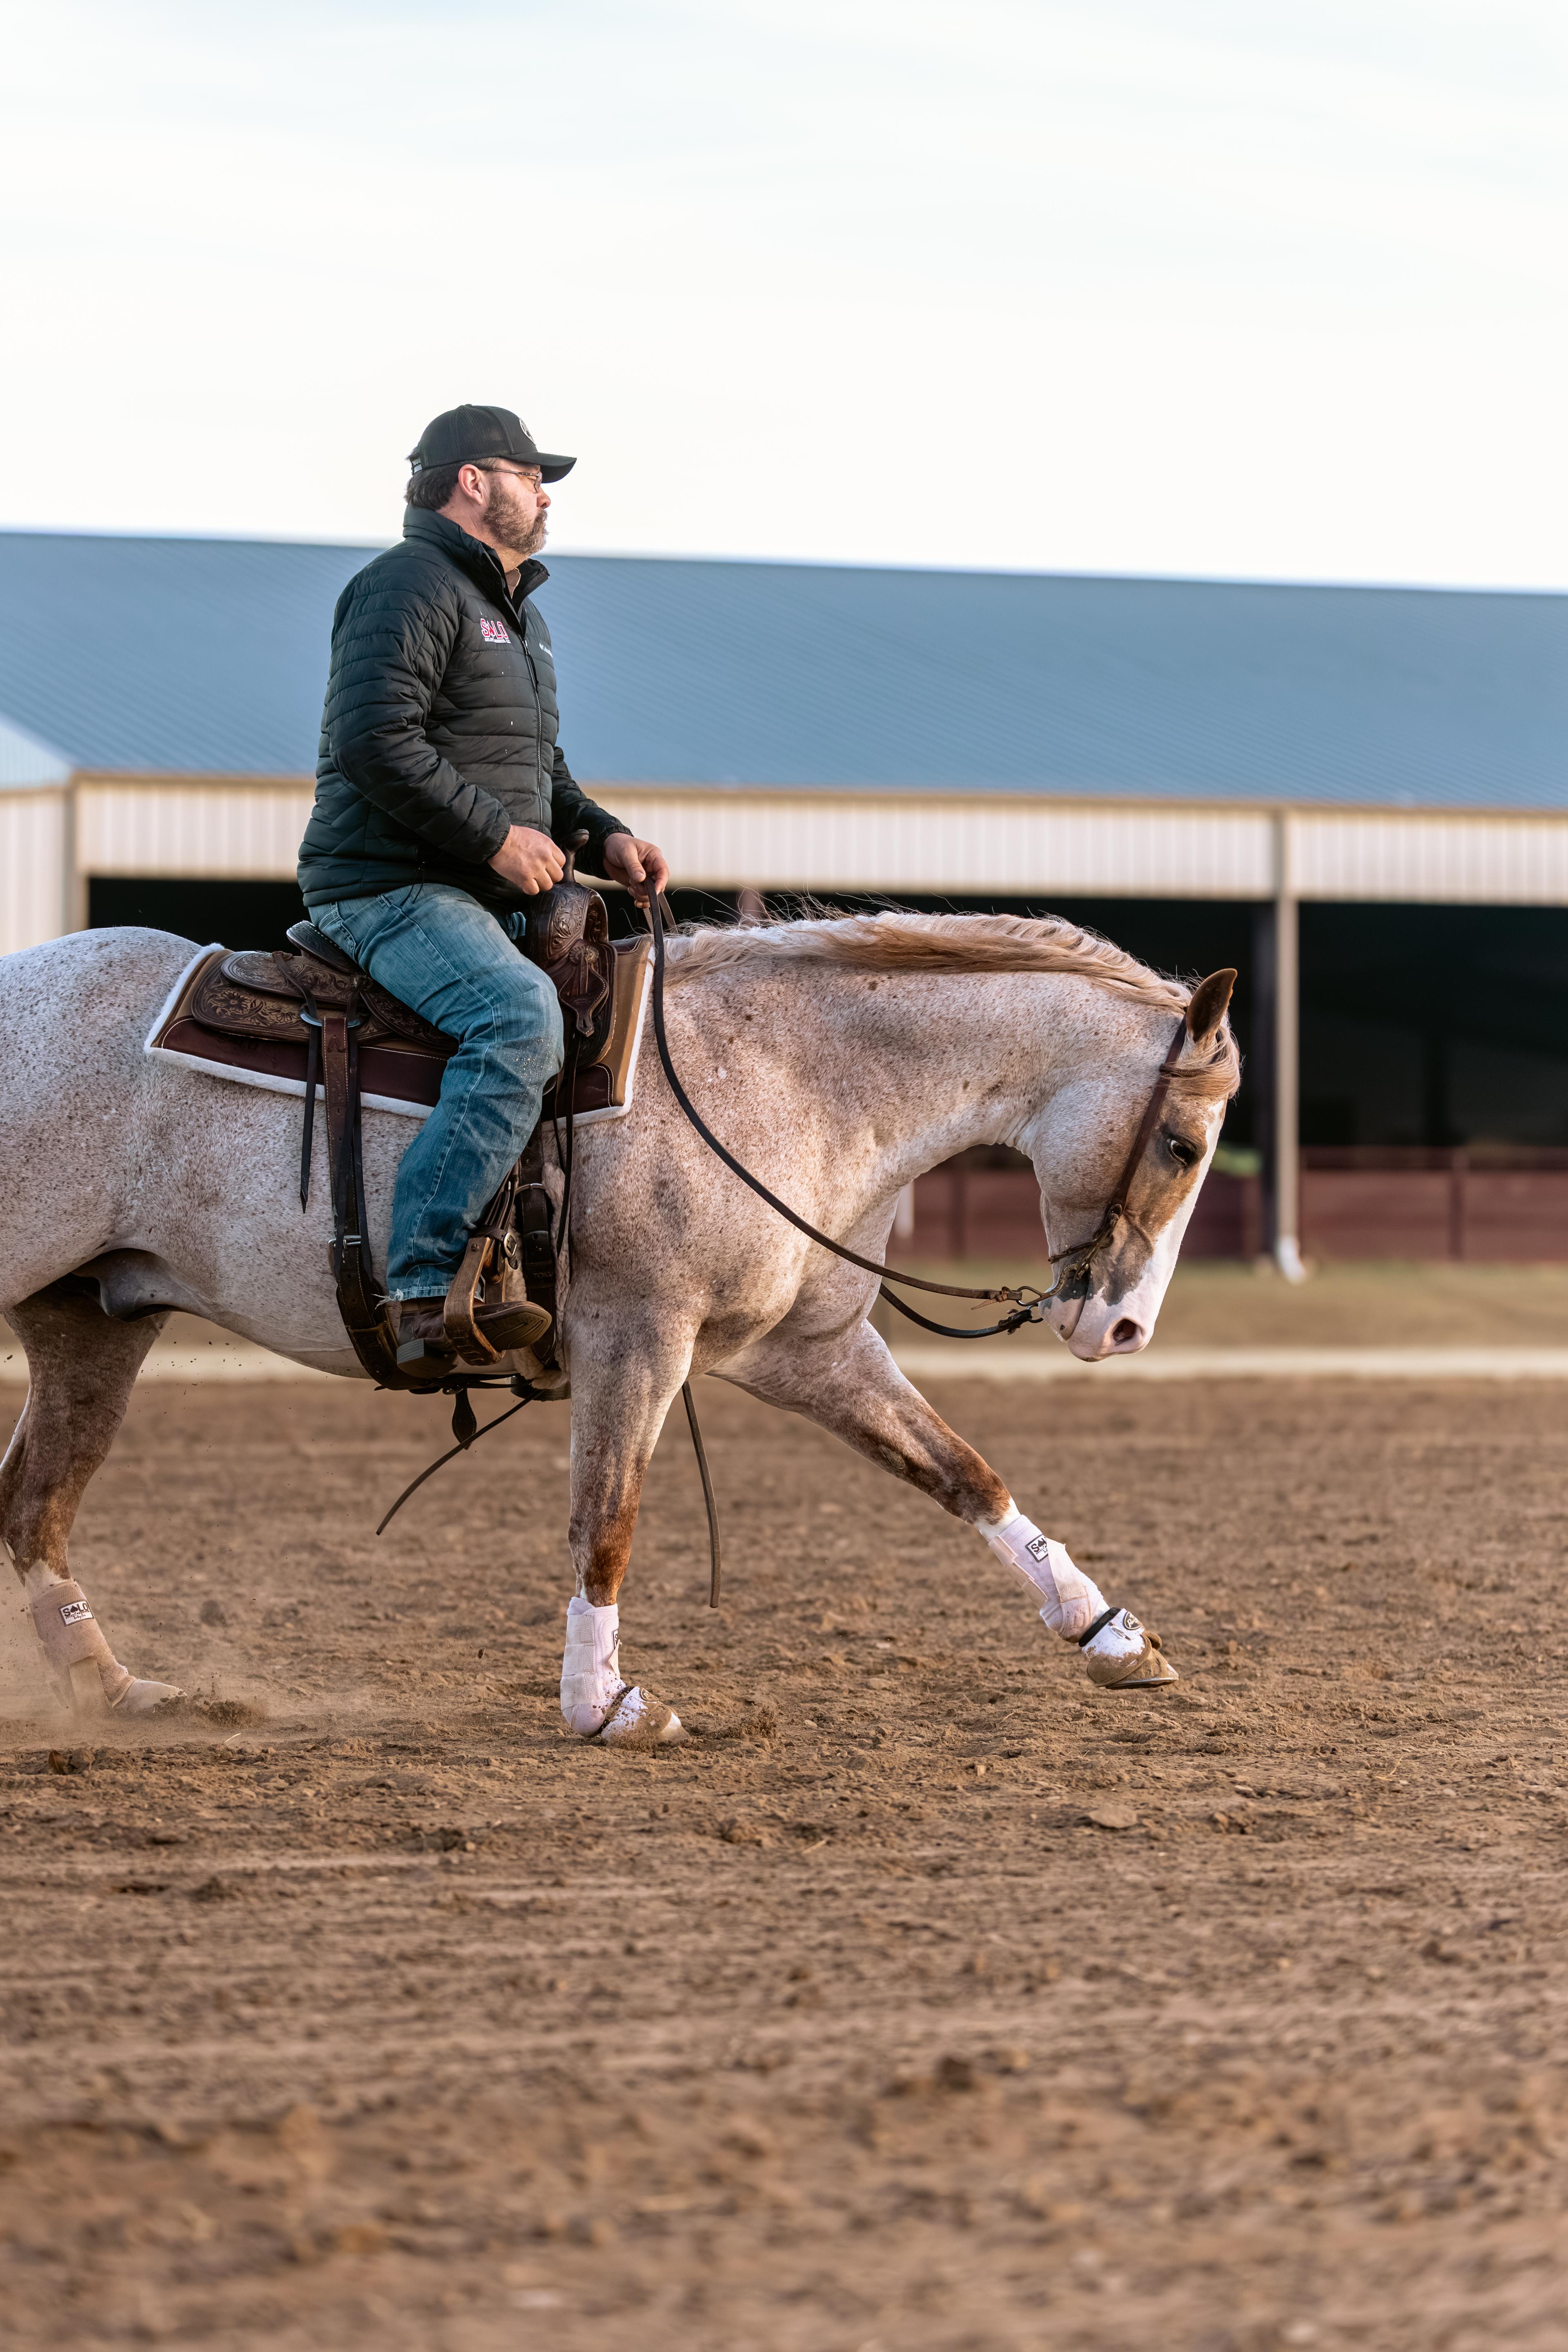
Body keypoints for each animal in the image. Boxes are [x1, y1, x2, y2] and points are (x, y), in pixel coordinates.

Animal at [0, 910, 1238, 1734]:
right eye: (1183, 1145)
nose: (1122, 1330)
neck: (789, 1076)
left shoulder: (807, 1350)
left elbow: (962, 1472)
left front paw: (1109, 1631)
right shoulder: (637, 1339)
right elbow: (608, 1520)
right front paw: (601, 1702)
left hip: (94, 1320)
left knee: (35, 1505)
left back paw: (112, 1688)